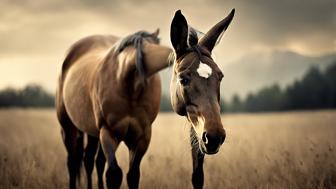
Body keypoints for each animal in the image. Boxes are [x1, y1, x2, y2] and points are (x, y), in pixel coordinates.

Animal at [55, 29, 173, 189]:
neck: (129, 85)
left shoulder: (142, 136)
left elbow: (133, 175)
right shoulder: (109, 131)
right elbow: (113, 174)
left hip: (92, 132)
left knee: (91, 161)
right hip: (68, 128)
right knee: (73, 163)